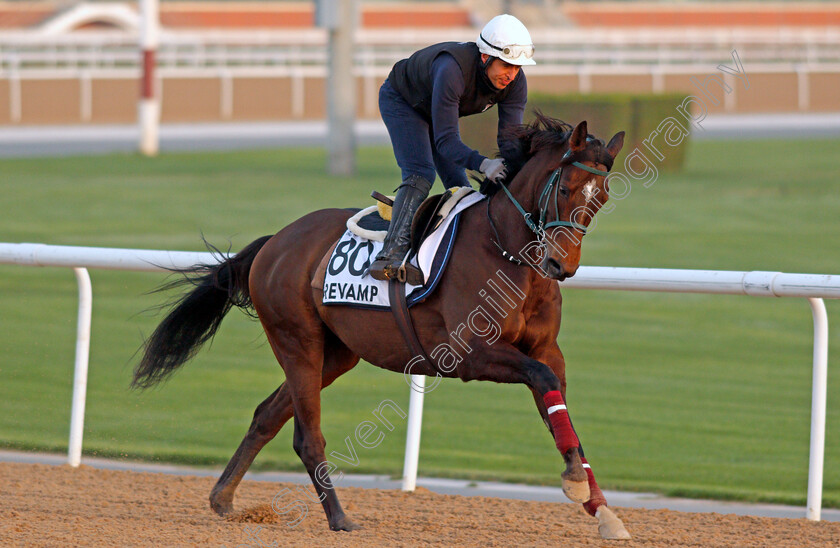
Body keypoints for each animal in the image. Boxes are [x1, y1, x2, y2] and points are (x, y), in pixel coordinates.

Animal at [133, 114, 632, 540]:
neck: (506, 251)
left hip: (337, 354)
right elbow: (542, 380)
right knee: (307, 436)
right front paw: (575, 482)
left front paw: (601, 508)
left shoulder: (546, 349)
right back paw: (339, 518)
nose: (561, 265)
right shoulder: (469, 353)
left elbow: (557, 403)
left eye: (602, 197)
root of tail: (276, 241)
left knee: (267, 415)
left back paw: (223, 497)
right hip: (297, 341)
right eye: (566, 187)